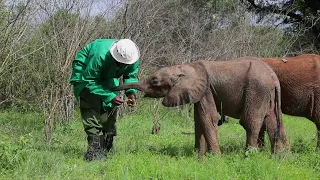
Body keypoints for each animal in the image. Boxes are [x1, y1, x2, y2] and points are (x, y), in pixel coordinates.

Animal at [112, 58, 290, 158]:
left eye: (155, 81)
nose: (125, 98)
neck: (184, 68)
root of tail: (274, 77)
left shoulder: (206, 90)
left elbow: (208, 118)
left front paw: (216, 159)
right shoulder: (199, 93)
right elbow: (199, 121)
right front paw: (199, 157)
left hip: (257, 90)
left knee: (250, 123)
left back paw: (248, 156)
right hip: (268, 94)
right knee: (273, 123)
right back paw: (280, 157)